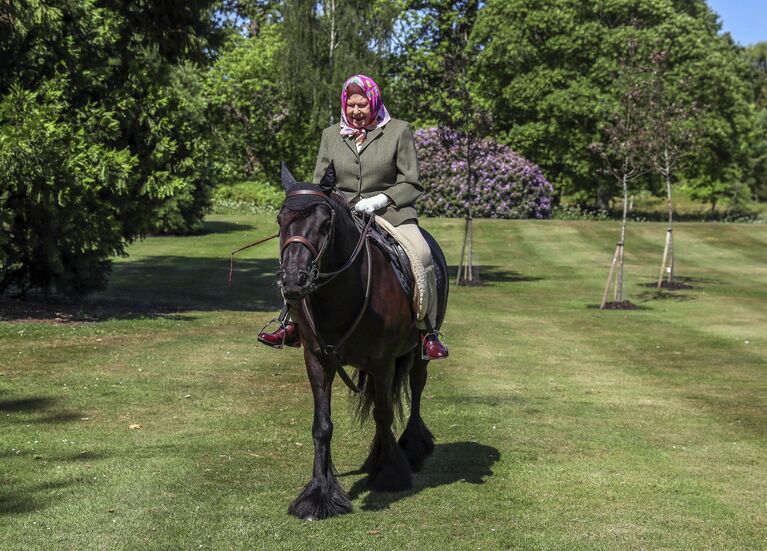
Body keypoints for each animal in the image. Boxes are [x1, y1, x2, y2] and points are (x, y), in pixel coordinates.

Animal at [276, 164, 448, 520]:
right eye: (280, 219)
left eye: (325, 224)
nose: (293, 280)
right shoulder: (317, 360)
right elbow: (322, 425)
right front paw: (318, 494)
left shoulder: (382, 362)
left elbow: (383, 414)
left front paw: (390, 473)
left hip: (419, 352)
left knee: (416, 389)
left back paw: (412, 448)